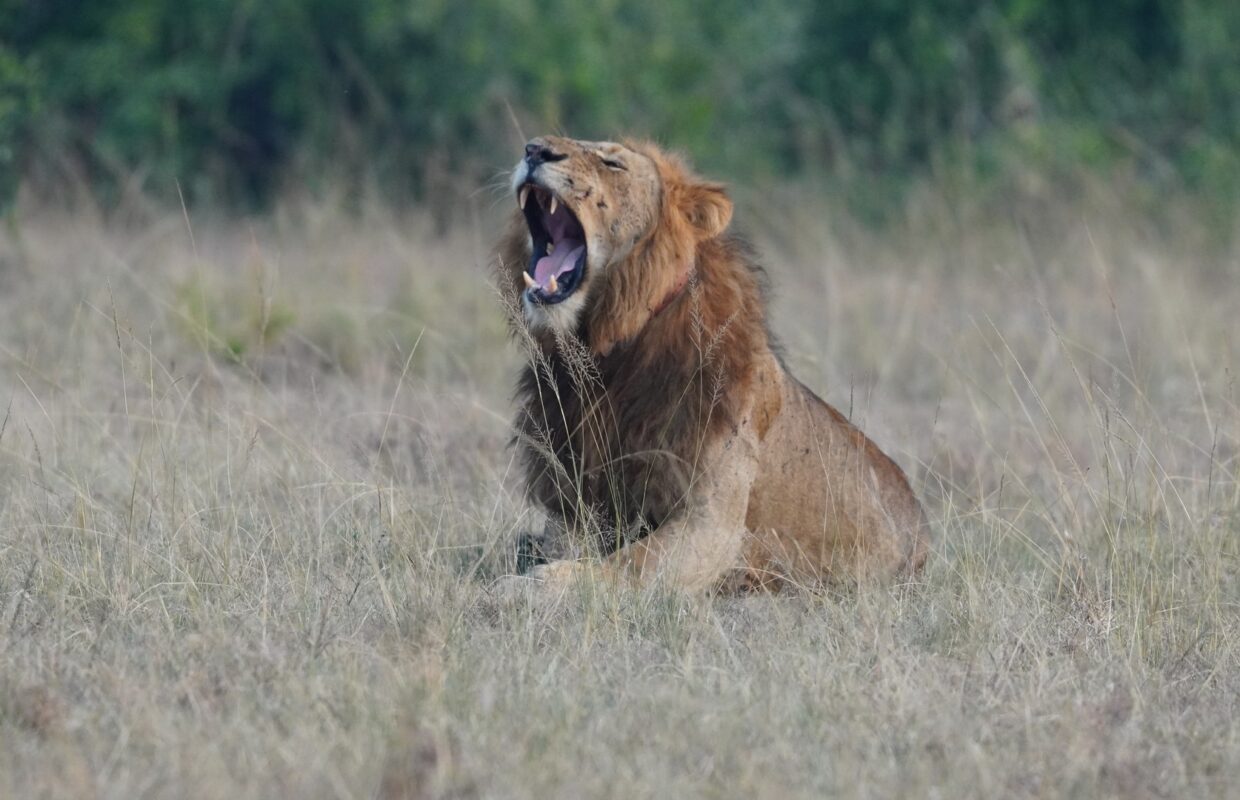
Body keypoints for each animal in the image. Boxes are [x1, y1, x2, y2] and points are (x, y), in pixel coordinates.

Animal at [495, 136, 929, 594]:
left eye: (613, 163)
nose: (535, 149)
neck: (606, 353)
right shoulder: (574, 497)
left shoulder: (712, 522)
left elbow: (631, 564)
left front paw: (536, 584)